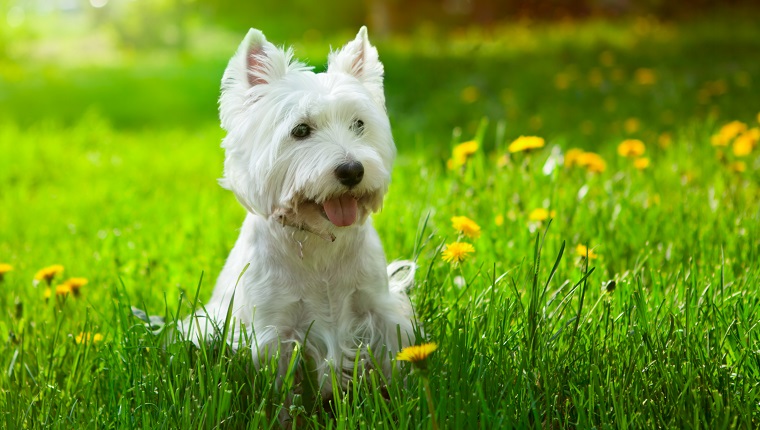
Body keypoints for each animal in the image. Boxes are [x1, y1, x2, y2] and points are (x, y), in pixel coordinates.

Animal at [178, 26, 416, 396]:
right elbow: (282, 391)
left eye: (359, 124)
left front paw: (402, 395)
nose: (353, 171)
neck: (319, 239)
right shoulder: (275, 329)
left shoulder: (379, 308)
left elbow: (392, 360)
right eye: (301, 130)